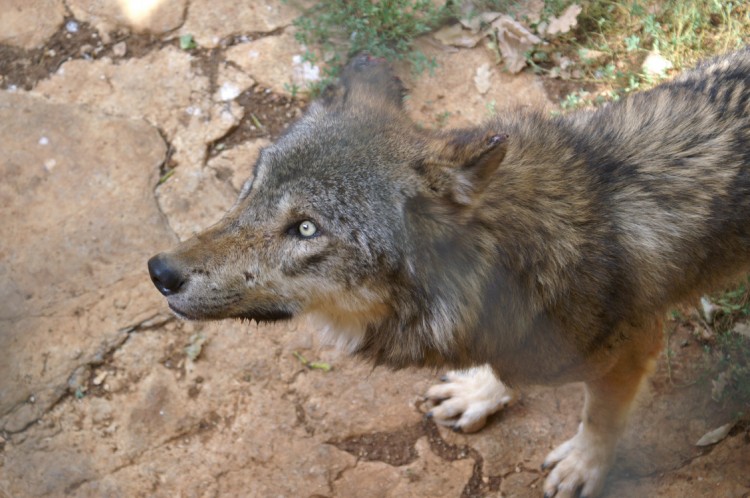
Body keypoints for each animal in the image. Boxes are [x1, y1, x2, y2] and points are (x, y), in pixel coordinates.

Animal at [150, 48, 750, 496]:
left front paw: (584, 465)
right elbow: (501, 374)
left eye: (305, 229)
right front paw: (480, 392)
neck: (504, 276)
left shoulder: (636, 347)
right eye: (252, 187)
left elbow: (600, 420)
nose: (159, 271)